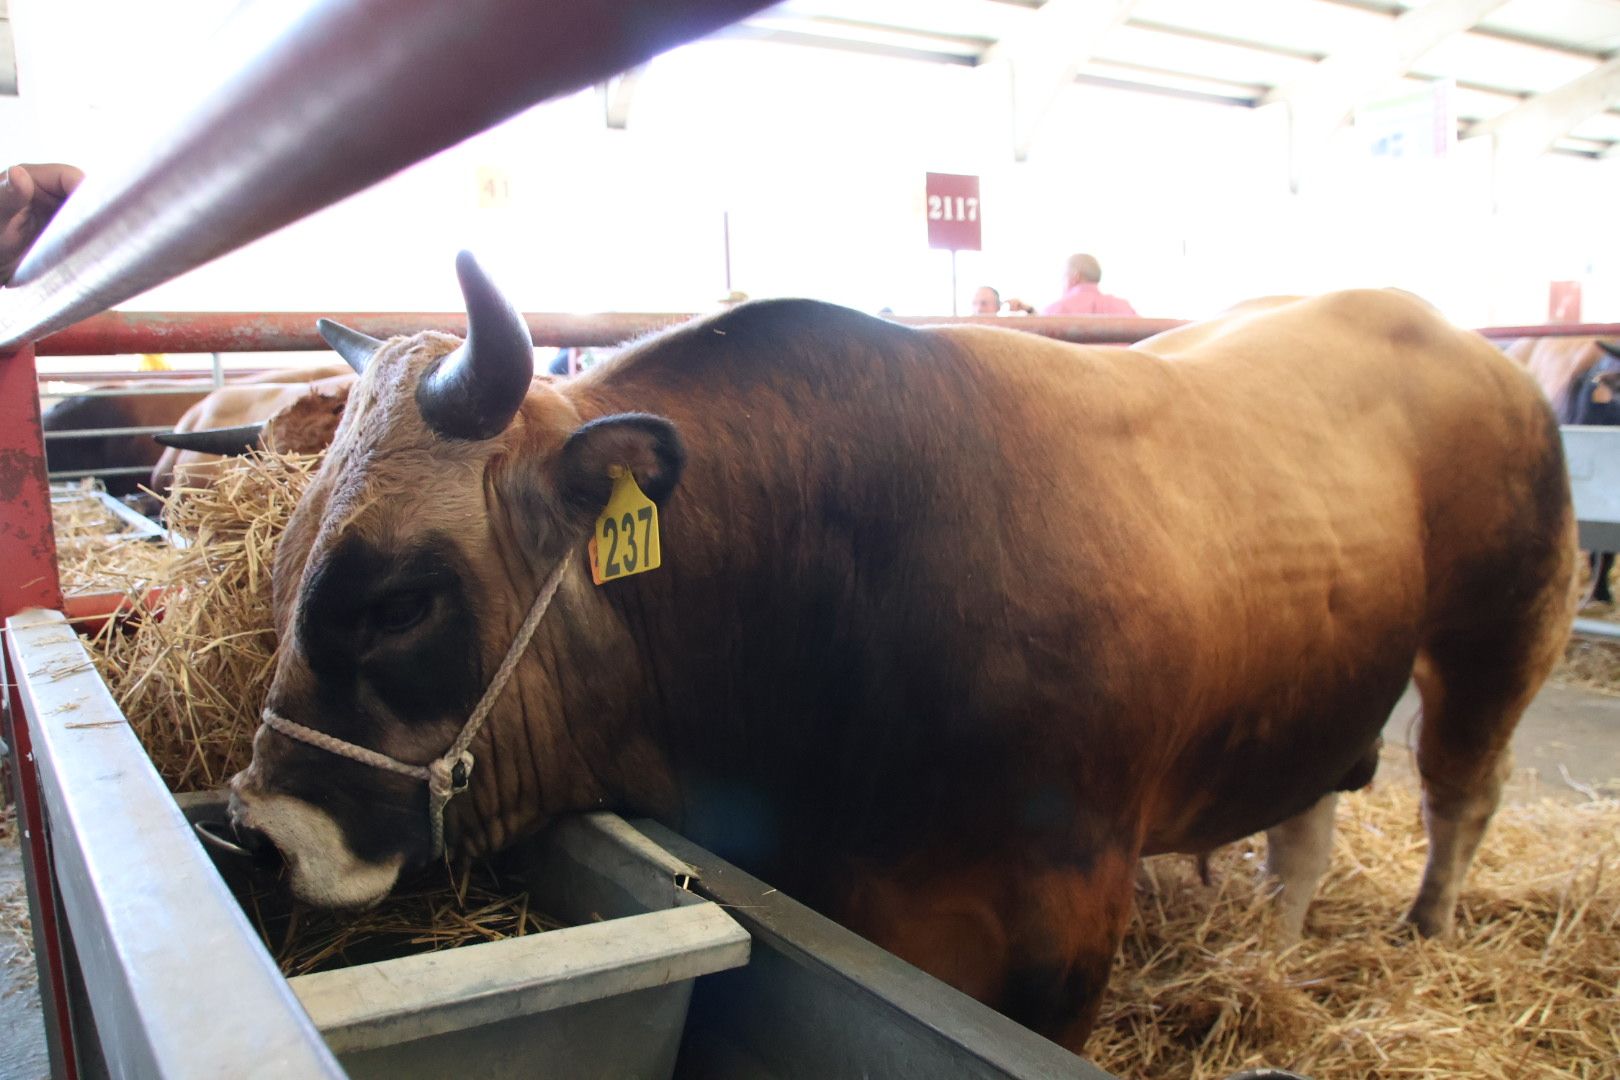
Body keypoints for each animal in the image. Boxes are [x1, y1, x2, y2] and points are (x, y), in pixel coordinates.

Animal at [225, 257, 1568, 1049]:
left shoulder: (1068, 931)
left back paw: (1425, 932)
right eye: (284, 556)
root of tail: (1459, 337)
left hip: (1500, 635)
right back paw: (1278, 952)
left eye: (401, 603)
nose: (264, 835)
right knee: (1307, 826)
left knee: (1462, 792)